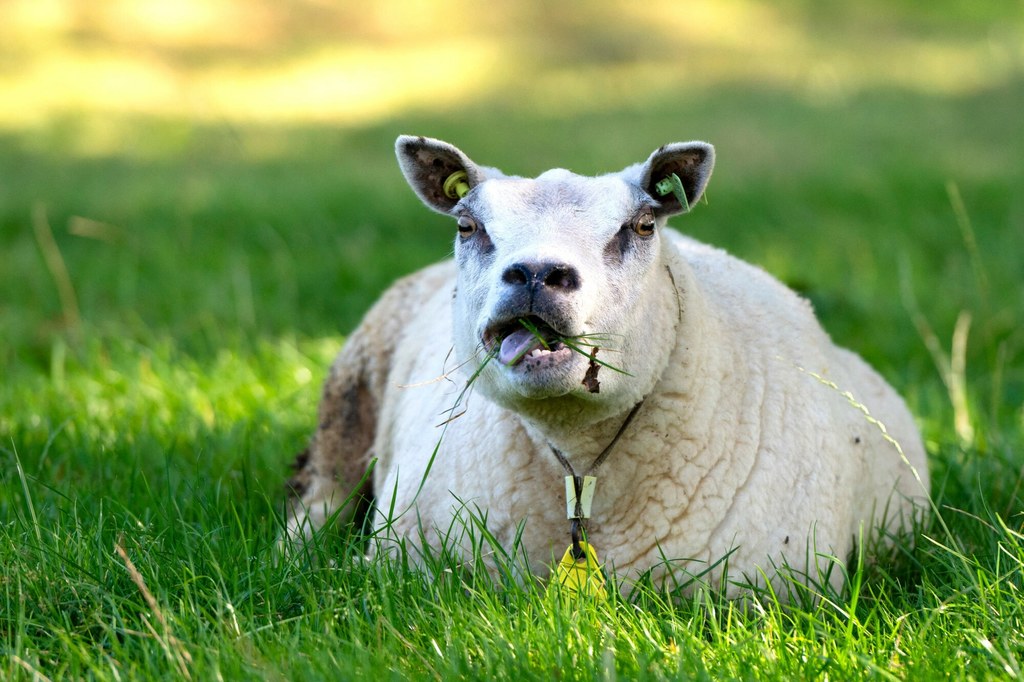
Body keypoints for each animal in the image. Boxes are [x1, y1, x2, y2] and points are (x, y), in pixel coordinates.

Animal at [284, 135, 933, 598]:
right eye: (468, 225)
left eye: (642, 225)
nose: (536, 274)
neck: (578, 458)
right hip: (350, 400)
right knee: (318, 501)